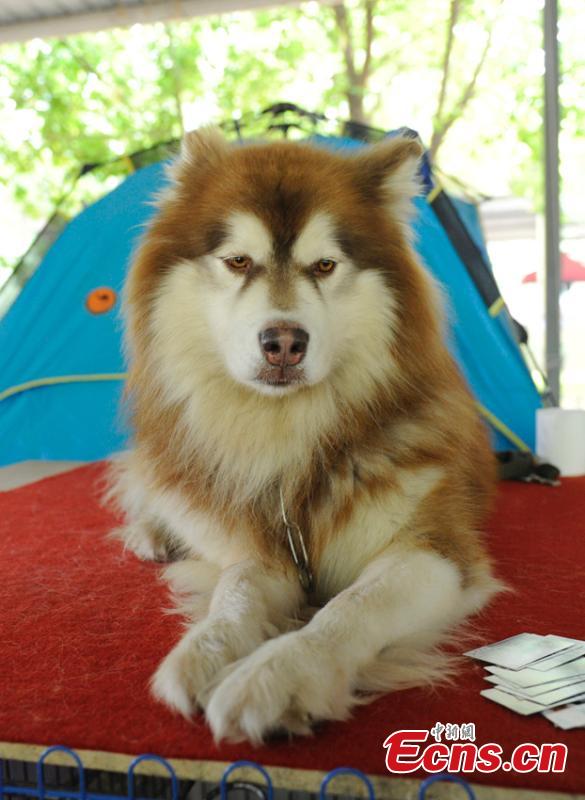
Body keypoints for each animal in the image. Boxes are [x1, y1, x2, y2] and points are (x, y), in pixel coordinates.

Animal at [110, 130, 502, 744]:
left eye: (324, 264)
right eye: (238, 261)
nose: (284, 343)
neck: (289, 438)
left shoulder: (435, 551)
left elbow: (351, 609)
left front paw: (280, 674)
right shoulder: (260, 548)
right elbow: (236, 590)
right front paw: (206, 649)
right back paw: (150, 534)